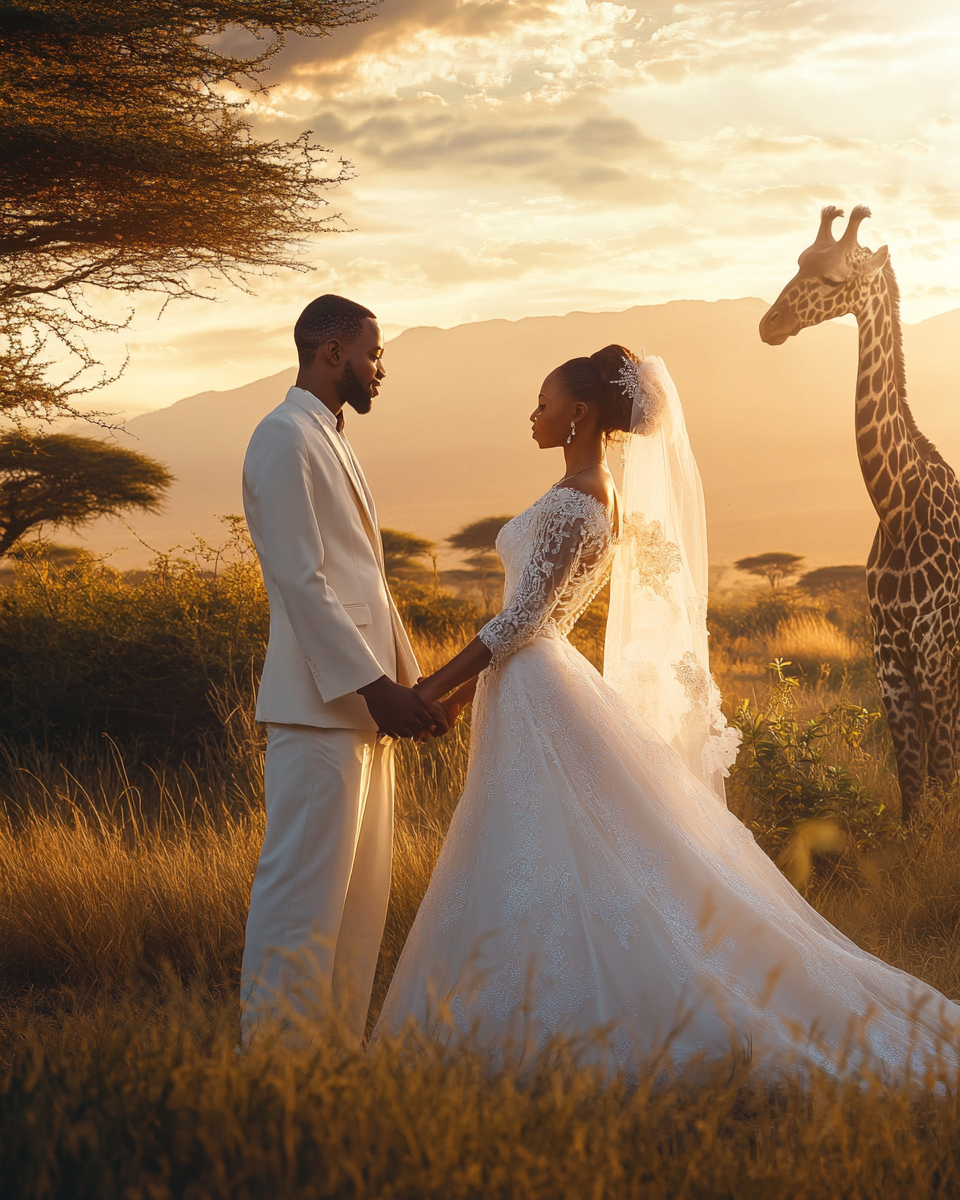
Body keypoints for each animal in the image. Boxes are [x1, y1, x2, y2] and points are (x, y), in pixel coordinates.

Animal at [758, 208, 960, 825]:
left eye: (829, 279)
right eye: (798, 262)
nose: (769, 325)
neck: (899, 508)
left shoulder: (936, 655)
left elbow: (941, 778)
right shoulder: (888, 656)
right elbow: (913, 791)